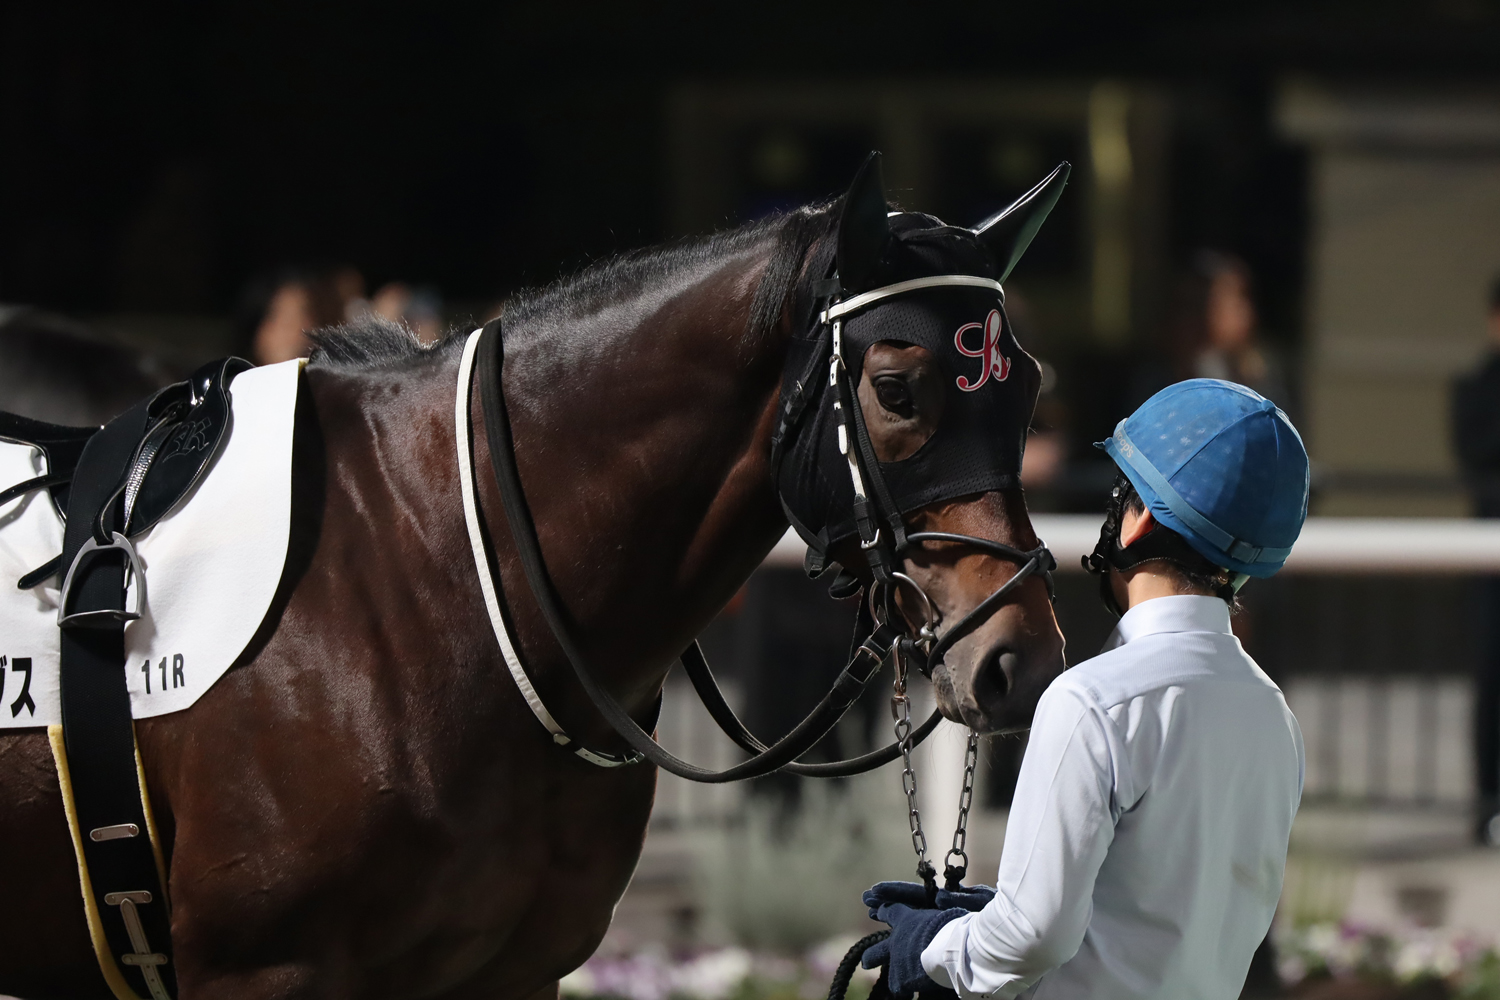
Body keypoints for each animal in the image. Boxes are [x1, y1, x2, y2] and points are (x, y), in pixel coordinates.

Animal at [0, 159, 1066, 999]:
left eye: (1025, 386)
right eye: (895, 389)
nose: (1021, 657)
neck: (427, 576)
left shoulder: (512, 971)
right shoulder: (261, 968)